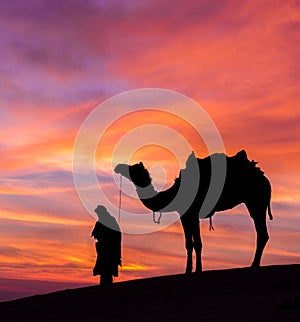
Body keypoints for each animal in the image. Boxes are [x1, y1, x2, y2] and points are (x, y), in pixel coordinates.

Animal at [114, 150, 272, 272]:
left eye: (133, 169)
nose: (117, 167)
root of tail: (265, 179)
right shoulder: (184, 215)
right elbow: (189, 244)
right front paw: (188, 270)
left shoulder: (193, 213)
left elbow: (198, 243)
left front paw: (198, 269)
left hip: (256, 201)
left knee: (262, 233)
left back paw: (254, 265)